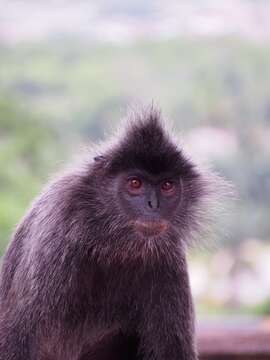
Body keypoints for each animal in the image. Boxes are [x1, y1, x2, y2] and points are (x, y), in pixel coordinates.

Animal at [0, 107, 229, 360]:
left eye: (167, 186)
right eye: (135, 183)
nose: (153, 205)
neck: (109, 242)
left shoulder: (169, 257)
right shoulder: (56, 232)